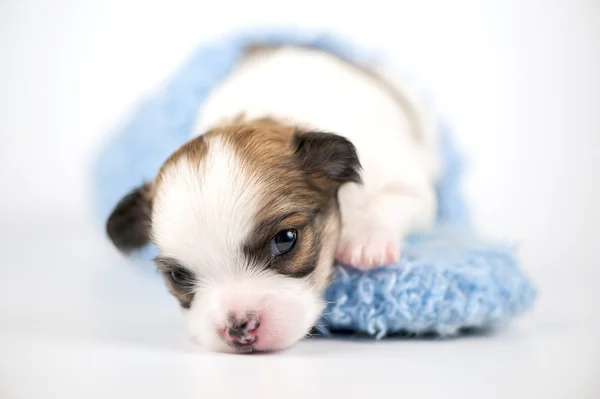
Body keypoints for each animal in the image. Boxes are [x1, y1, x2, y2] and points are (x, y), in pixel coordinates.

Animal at [105, 45, 438, 354]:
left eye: (285, 239)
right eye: (177, 276)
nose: (238, 328)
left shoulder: (403, 180)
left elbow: (395, 198)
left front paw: (366, 241)